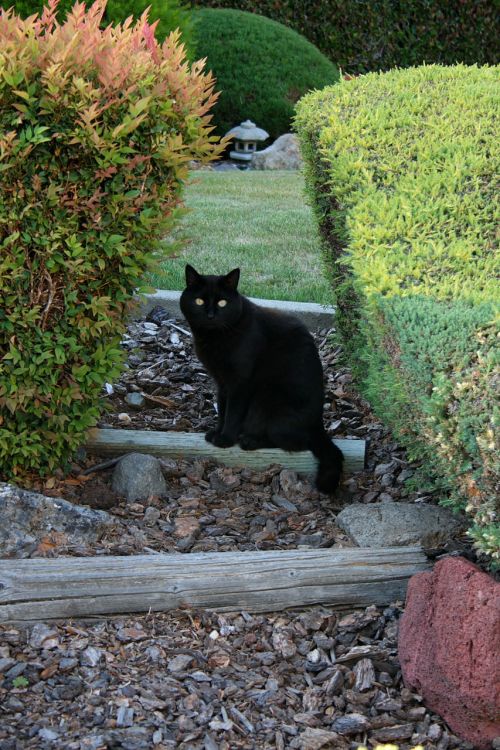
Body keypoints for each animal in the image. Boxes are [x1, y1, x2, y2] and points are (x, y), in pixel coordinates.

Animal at [181, 264, 344, 494]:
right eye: (199, 302)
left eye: (222, 302)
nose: (211, 315)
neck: (215, 339)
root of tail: (318, 426)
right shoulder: (222, 383)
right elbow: (222, 410)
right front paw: (216, 432)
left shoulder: (240, 383)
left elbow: (232, 413)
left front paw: (225, 439)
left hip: (266, 399)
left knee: (296, 443)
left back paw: (248, 440)